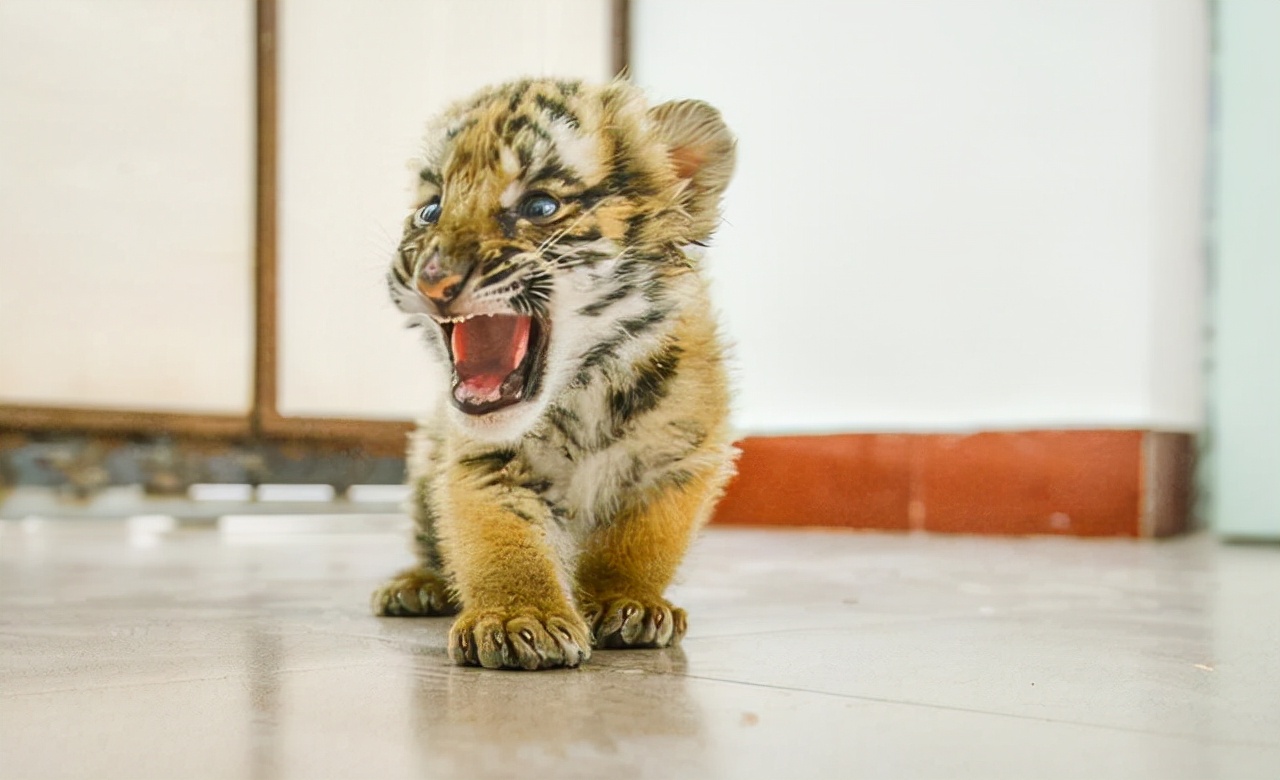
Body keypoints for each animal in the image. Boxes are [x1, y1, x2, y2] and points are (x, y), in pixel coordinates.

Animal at [372, 78, 738, 670]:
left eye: (539, 205)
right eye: (430, 210)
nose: (433, 279)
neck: (585, 389)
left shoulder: (681, 457)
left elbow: (642, 541)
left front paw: (627, 602)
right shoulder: (483, 461)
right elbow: (501, 541)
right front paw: (519, 617)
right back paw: (417, 587)